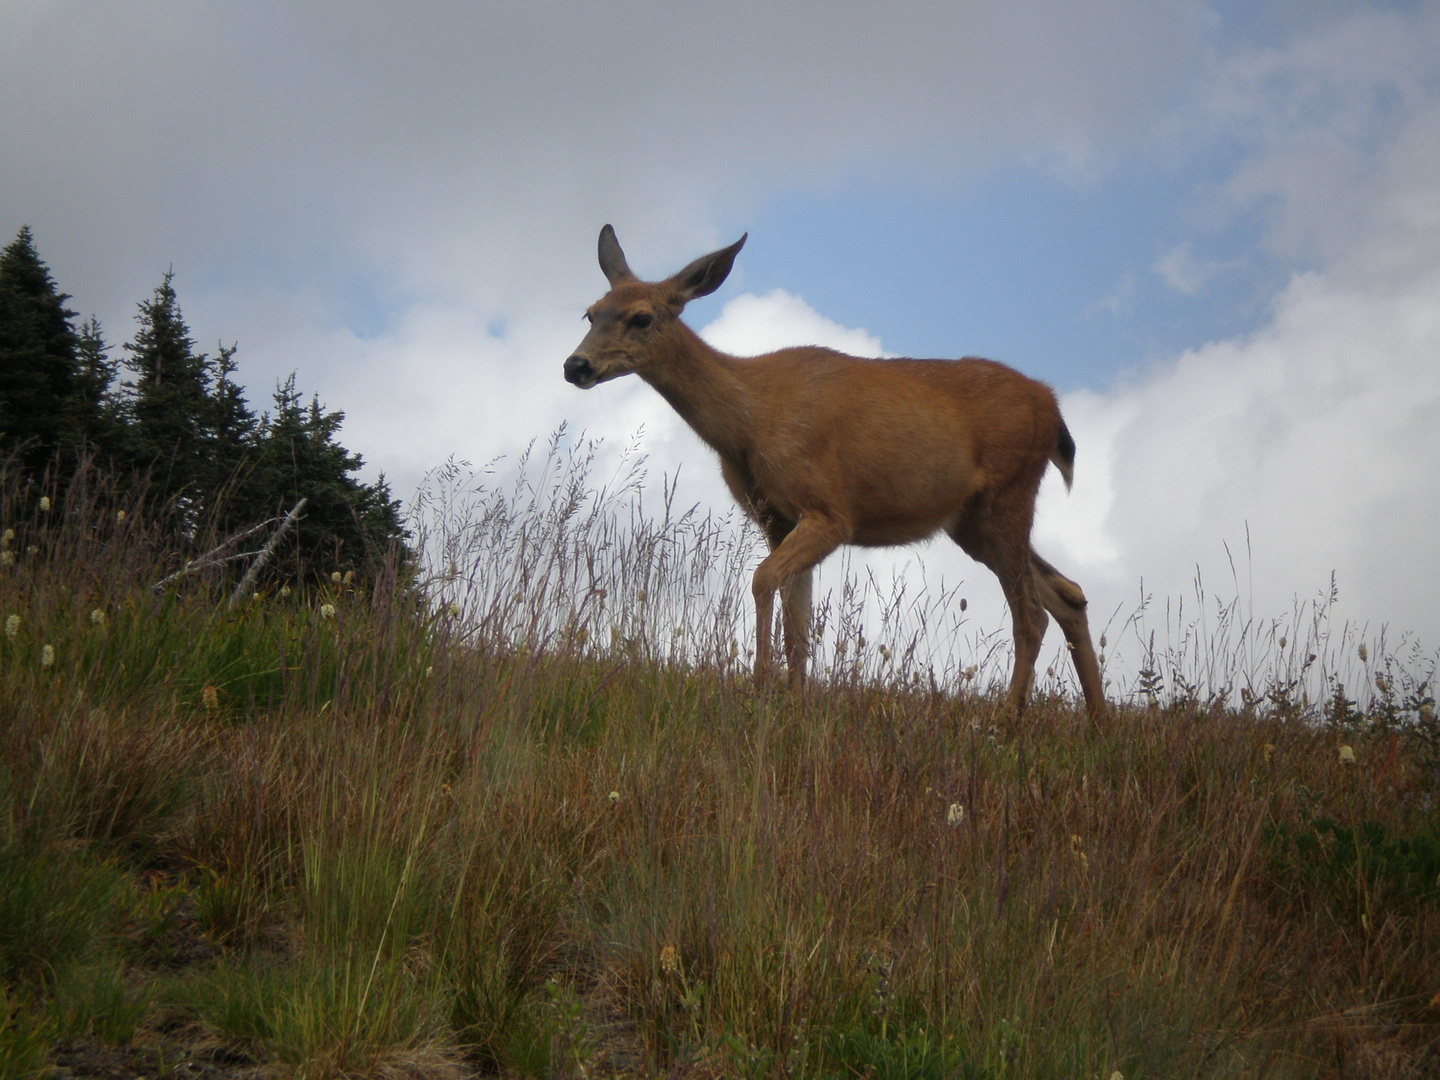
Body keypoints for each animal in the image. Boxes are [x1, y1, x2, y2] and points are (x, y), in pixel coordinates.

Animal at [561, 226, 1100, 720]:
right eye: (591, 313)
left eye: (641, 317)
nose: (575, 365)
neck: (748, 424)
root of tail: (1052, 408)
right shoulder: (777, 519)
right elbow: (798, 621)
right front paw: (793, 707)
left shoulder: (829, 510)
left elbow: (763, 582)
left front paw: (760, 687)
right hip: (971, 522)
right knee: (1068, 595)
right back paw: (1097, 724)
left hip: (1009, 492)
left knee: (1031, 615)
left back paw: (1006, 722)